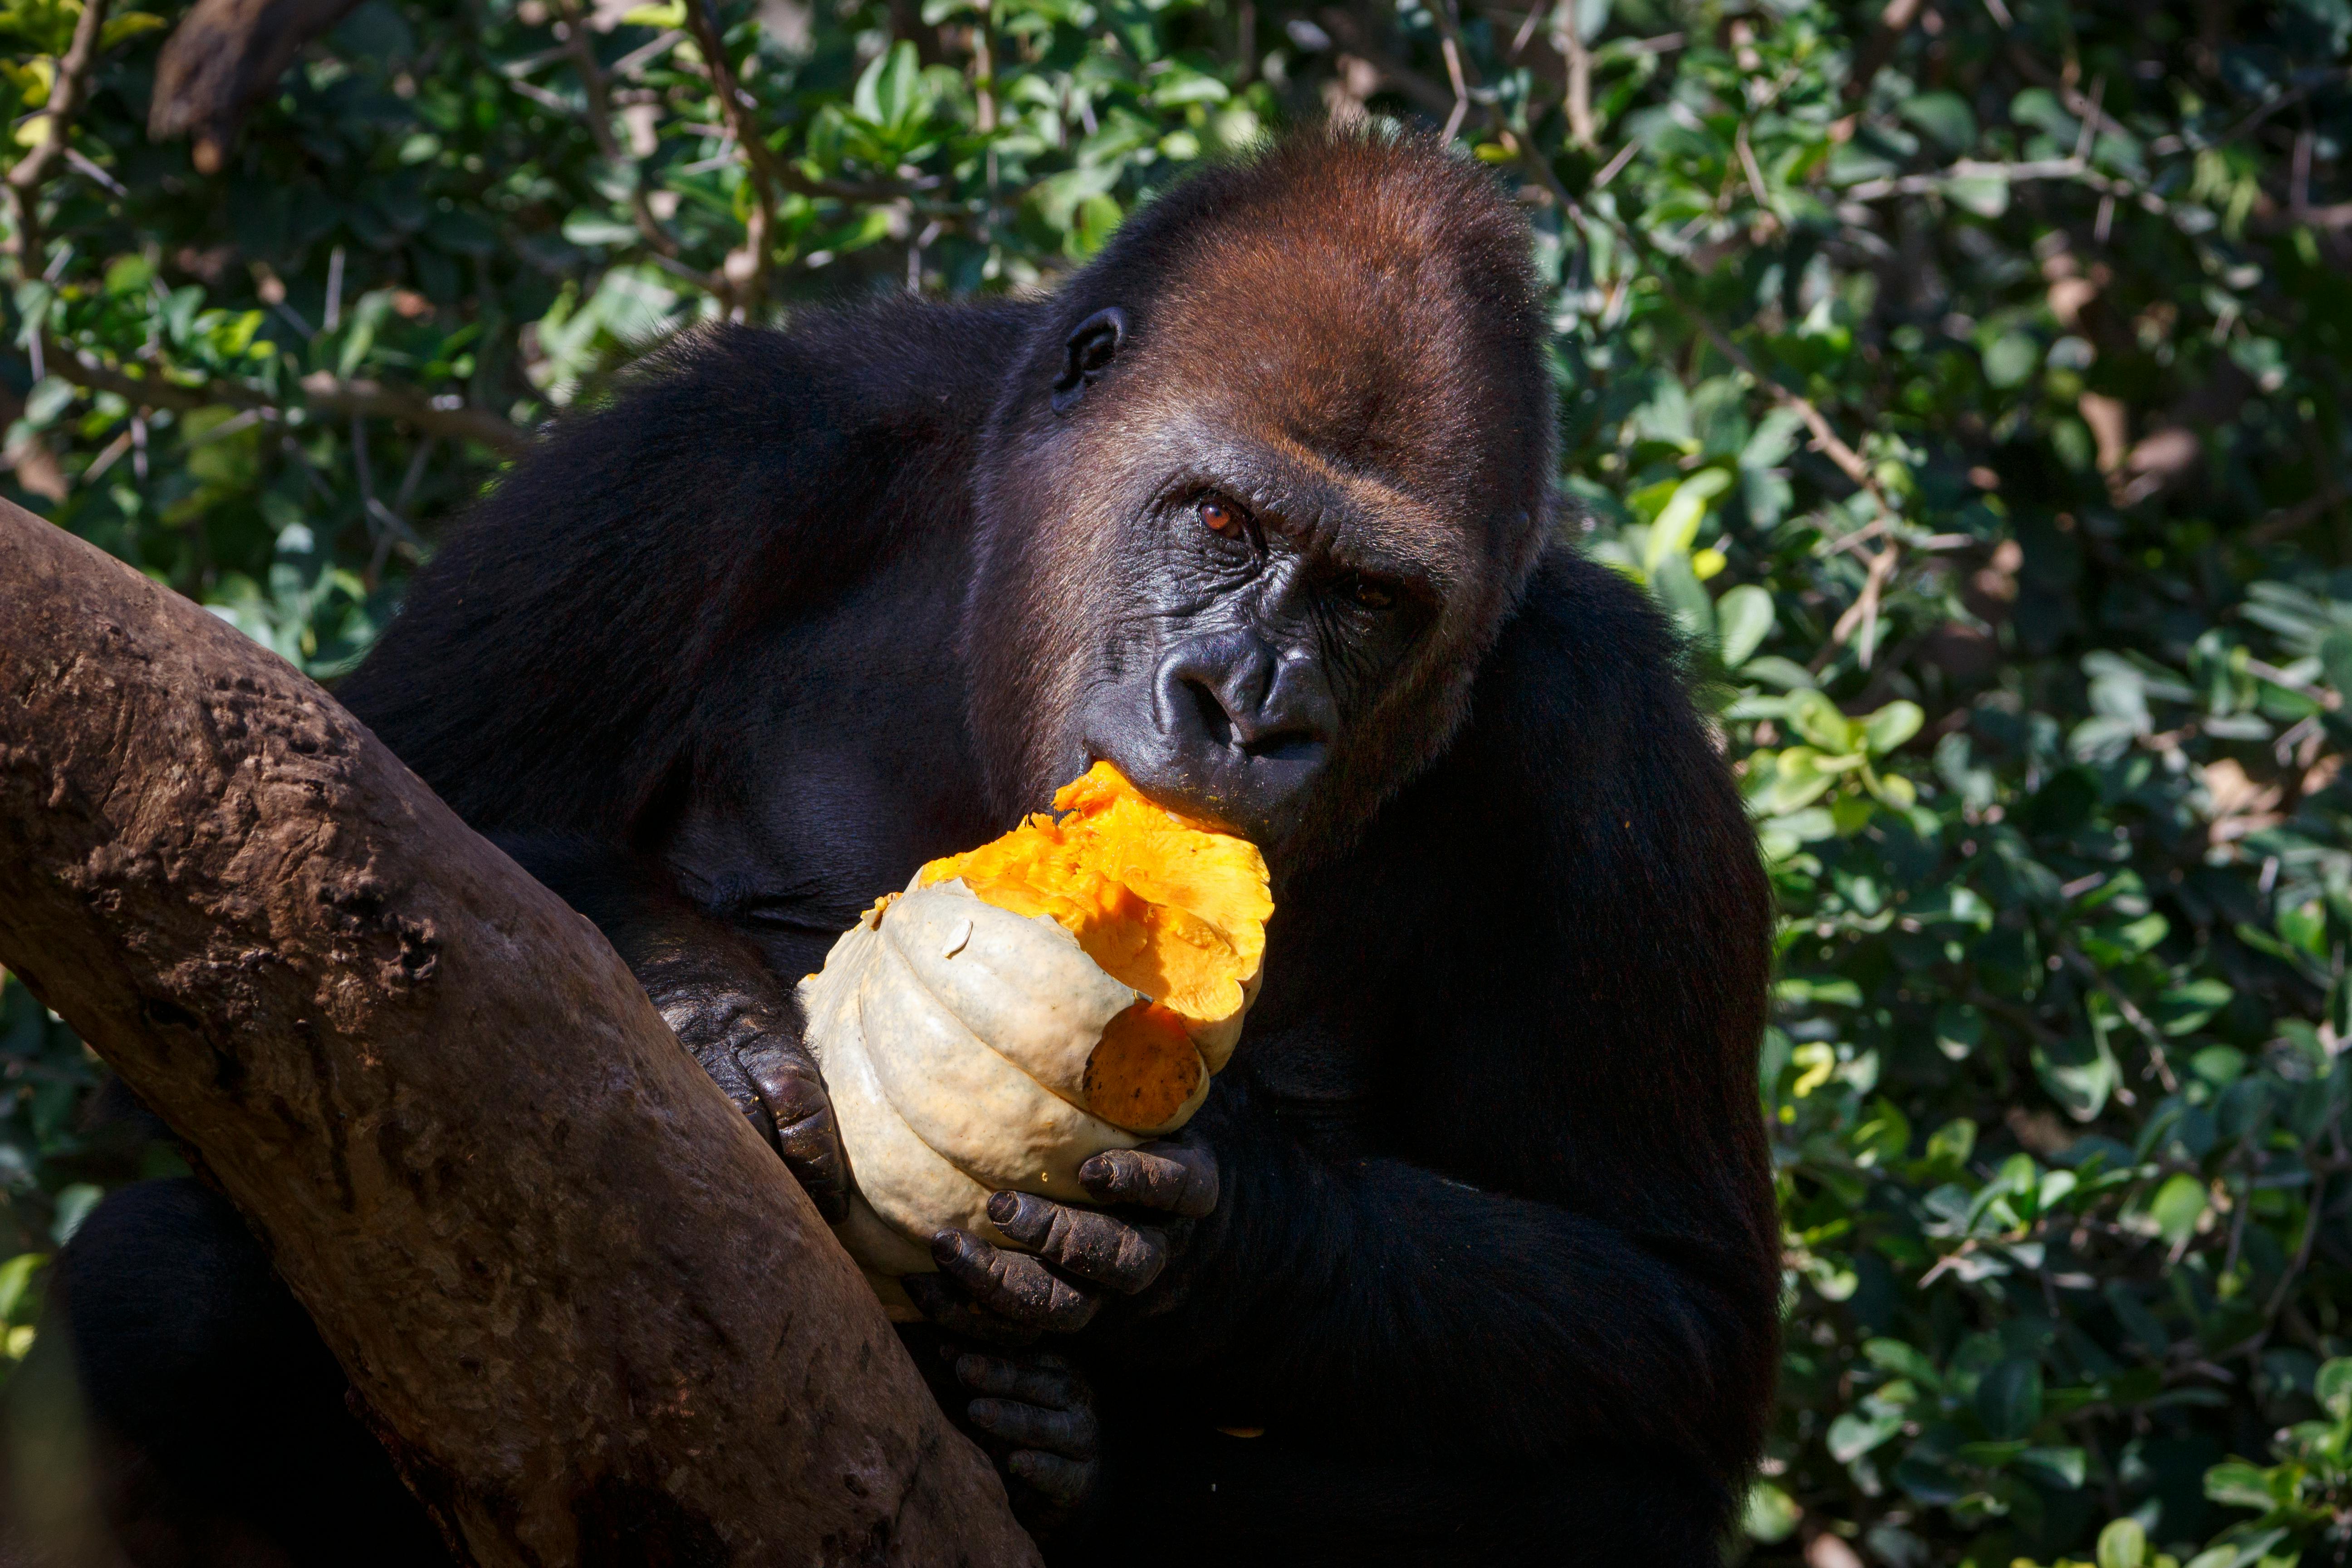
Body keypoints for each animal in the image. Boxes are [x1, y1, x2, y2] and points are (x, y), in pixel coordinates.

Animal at [46, 138, 1769, 1568]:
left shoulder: (1610, 743)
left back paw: (1072, 1465)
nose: (1243, 708)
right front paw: (706, 1020)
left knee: (1615, 1505)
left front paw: (1219, 1234)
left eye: (1368, 600)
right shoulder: (715, 451)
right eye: (1217, 522)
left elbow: (1677, 1311)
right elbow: (321, 878)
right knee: (164, 1293)